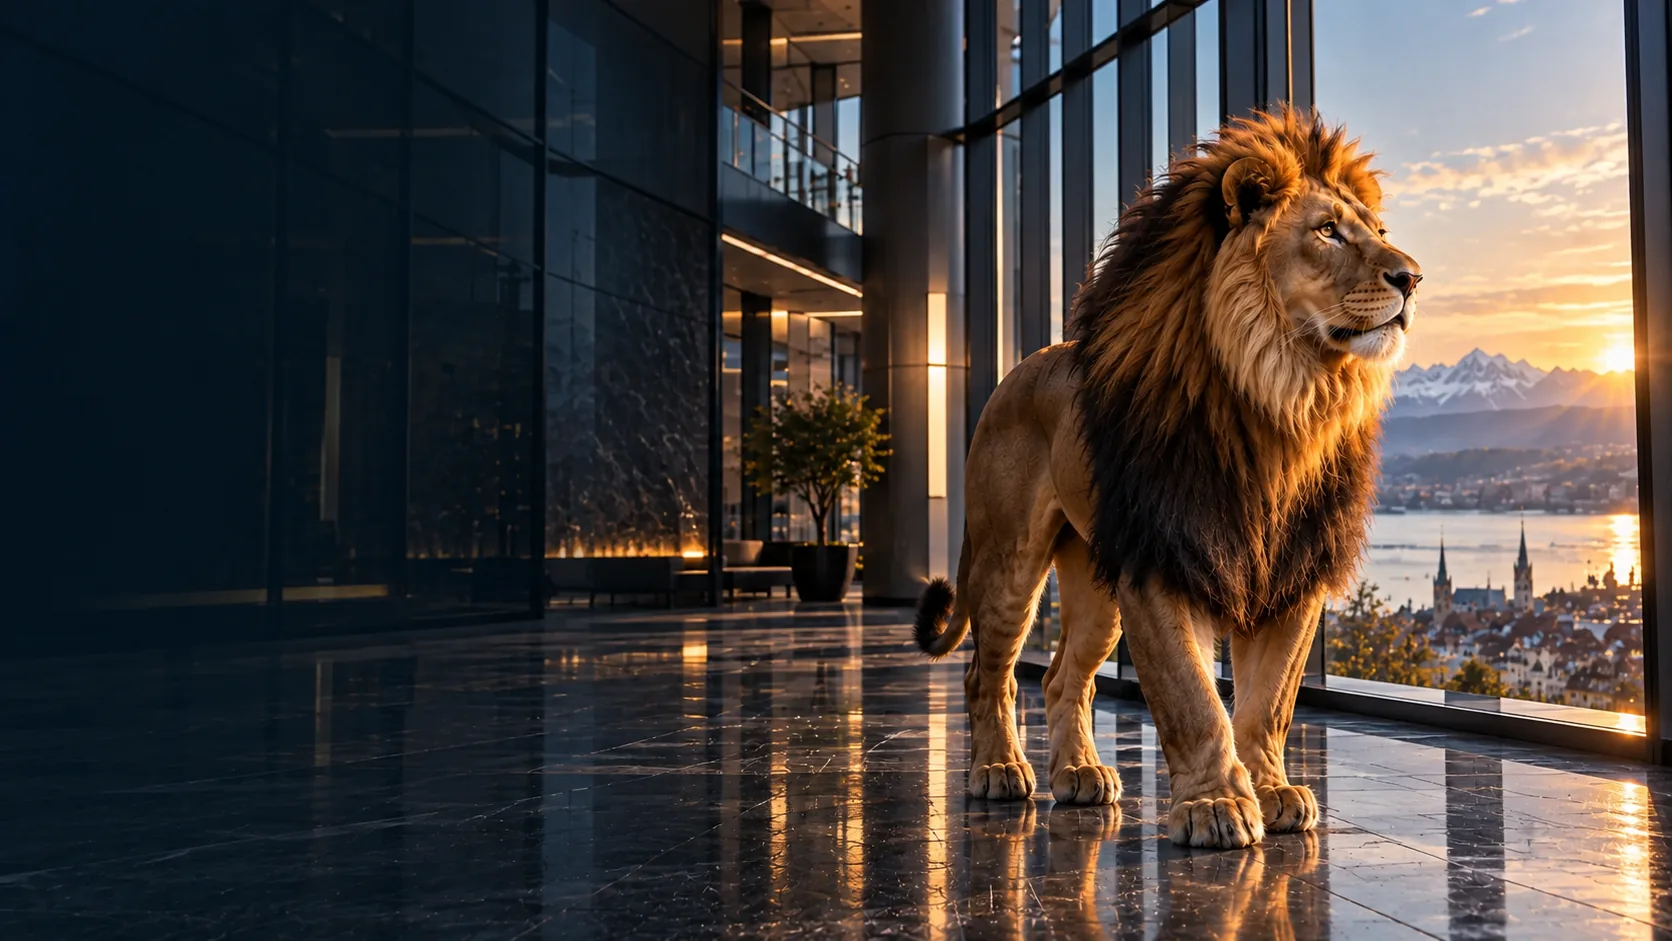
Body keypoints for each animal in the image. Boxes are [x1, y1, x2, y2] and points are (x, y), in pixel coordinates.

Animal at [913, 107, 1421, 849]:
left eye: (1379, 233)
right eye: (1327, 230)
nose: (1412, 277)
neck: (1281, 396)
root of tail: (1017, 369)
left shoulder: (1292, 568)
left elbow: (1269, 700)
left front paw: (1270, 790)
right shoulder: (1159, 557)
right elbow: (1191, 695)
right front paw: (1215, 803)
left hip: (1096, 580)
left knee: (1065, 677)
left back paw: (1081, 774)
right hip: (1010, 559)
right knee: (989, 673)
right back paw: (1000, 769)